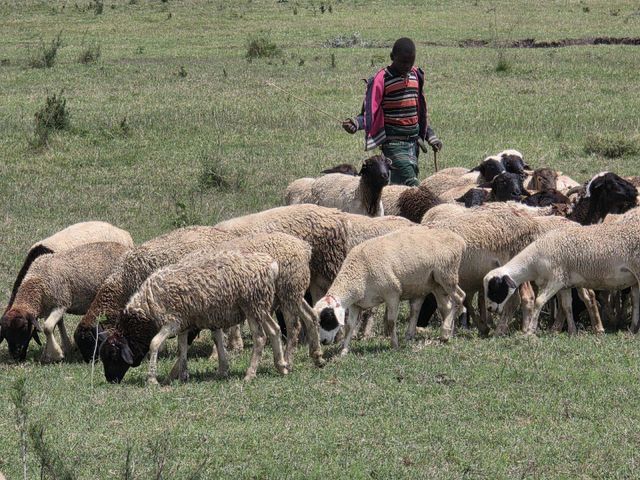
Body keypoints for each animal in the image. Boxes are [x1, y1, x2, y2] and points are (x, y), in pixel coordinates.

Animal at [1, 242, 130, 362]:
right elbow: (53, 327)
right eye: (5, 334)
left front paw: (57, 354)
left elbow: (47, 327)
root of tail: (126, 247)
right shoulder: (49, 308)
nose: (15, 355)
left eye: (23, 328)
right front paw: (49, 354)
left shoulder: (61, 303)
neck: (36, 281)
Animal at [99, 251, 287, 384]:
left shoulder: (172, 322)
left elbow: (154, 344)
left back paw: (250, 374)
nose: (110, 380)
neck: (147, 306)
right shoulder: (185, 322)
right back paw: (282, 366)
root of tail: (271, 265)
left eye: (113, 354)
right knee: (275, 330)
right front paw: (182, 376)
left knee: (260, 337)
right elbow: (182, 348)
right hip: (260, 306)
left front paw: (152, 380)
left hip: (252, 304)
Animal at [314, 226, 466, 355]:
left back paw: (446, 332)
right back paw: (440, 334)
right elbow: (349, 326)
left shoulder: (392, 293)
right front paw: (344, 351)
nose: (323, 342)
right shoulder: (356, 304)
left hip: (446, 275)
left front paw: (394, 345)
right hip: (435, 283)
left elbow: (391, 321)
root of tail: (459, 240)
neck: (358, 272)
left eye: (328, 318)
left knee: (459, 298)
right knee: (444, 306)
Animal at [484, 221, 640, 336]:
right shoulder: (565, 283)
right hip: (635, 279)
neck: (533, 261)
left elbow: (539, 302)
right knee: (635, 301)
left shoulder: (556, 279)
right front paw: (572, 332)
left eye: (494, 288)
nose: (489, 308)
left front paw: (529, 332)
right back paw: (632, 330)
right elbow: (566, 306)